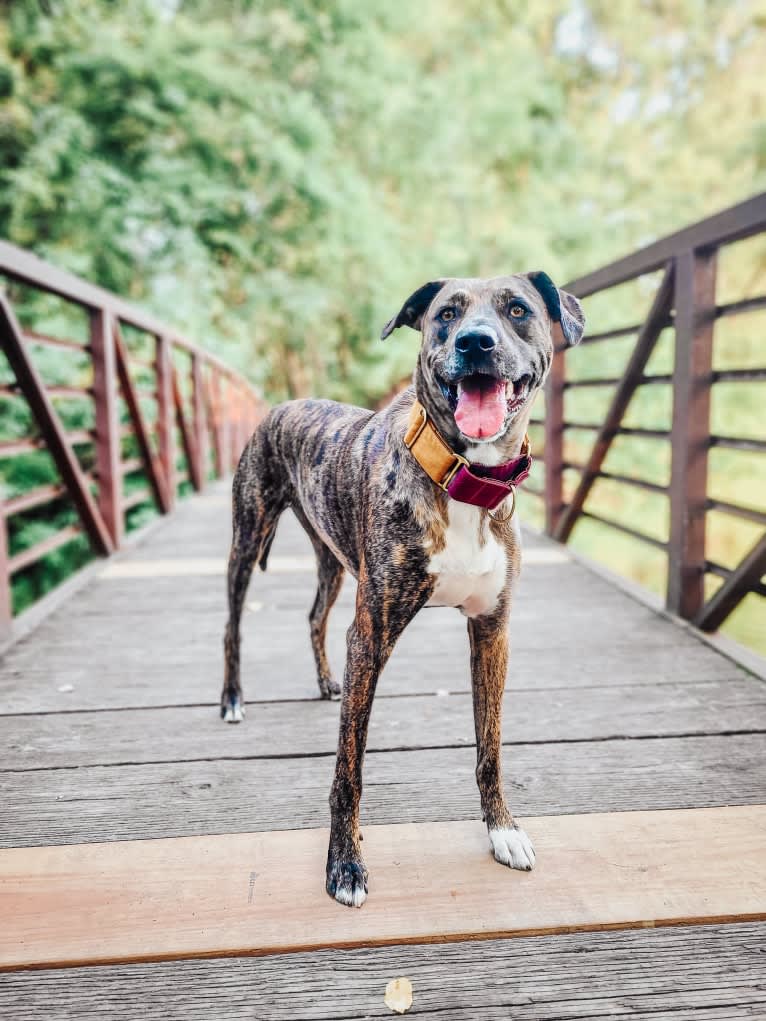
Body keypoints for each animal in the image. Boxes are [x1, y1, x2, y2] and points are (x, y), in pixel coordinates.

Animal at [218, 273, 584, 910]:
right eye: (446, 315)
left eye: (517, 310)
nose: (476, 342)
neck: (464, 480)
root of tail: (285, 405)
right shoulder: (372, 634)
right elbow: (350, 770)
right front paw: (344, 865)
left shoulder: (492, 630)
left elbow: (490, 747)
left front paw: (503, 829)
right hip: (249, 535)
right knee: (233, 624)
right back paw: (233, 697)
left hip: (333, 561)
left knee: (313, 616)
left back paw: (325, 682)